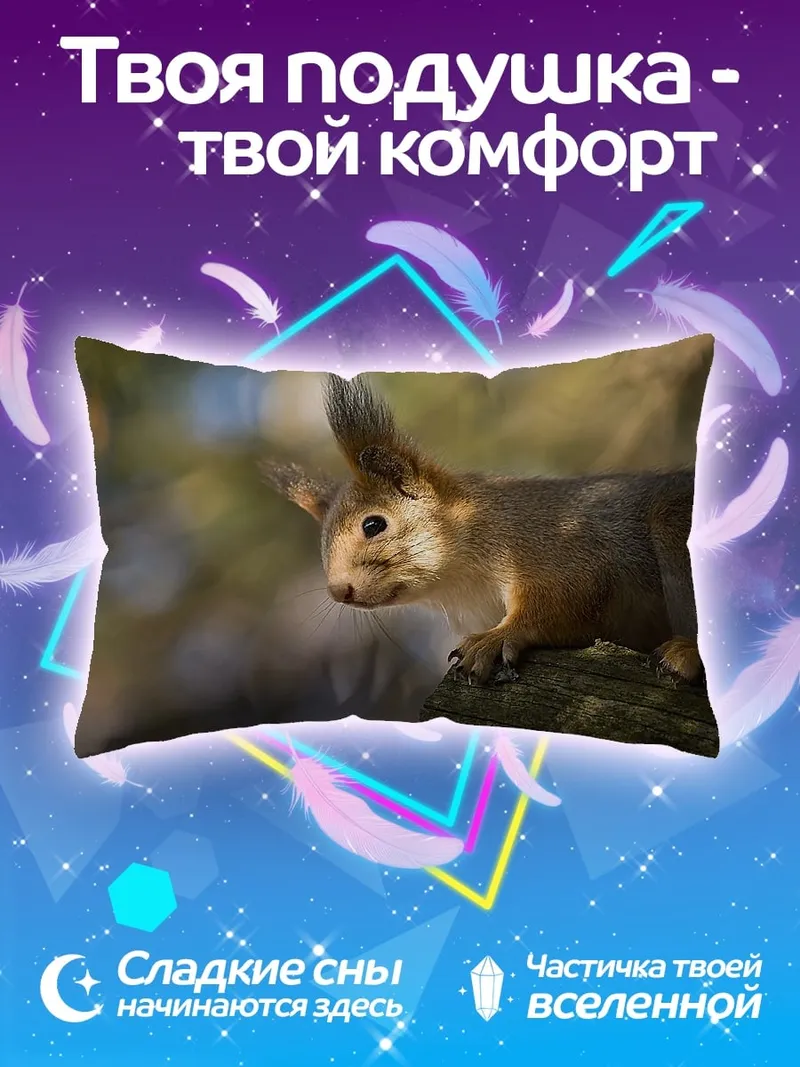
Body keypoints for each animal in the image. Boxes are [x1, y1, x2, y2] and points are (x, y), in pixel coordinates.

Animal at [261, 374, 703, 688]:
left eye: (373, 524)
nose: (340, 591)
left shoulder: (556, 545)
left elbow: (564, 598)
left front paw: (494, 640)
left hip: (673, 523)